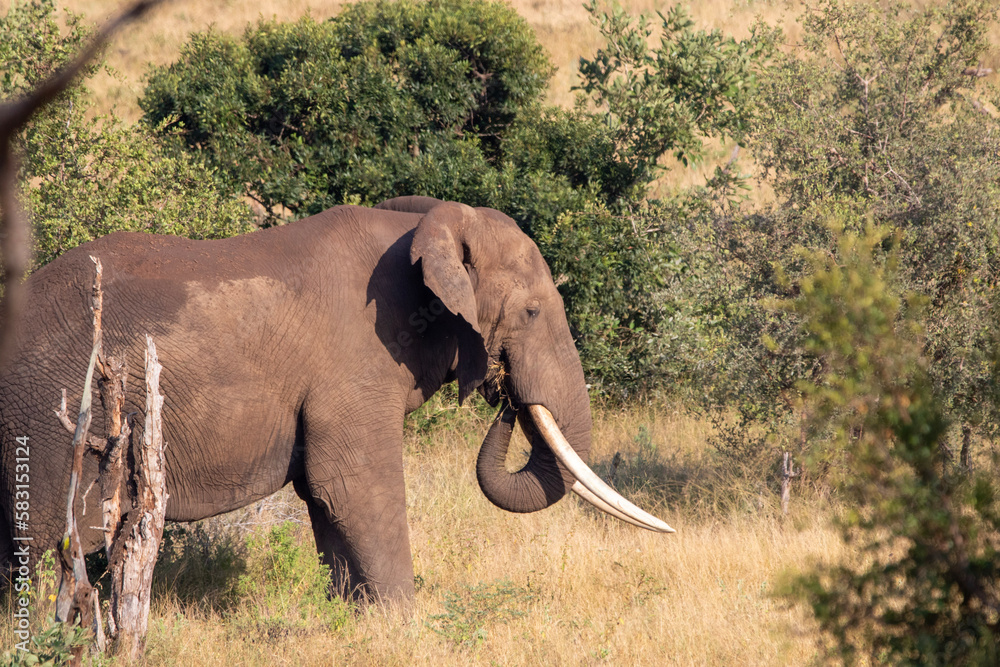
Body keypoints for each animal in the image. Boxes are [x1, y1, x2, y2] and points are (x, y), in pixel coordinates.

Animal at [0, 196, 671, 604]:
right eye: (532, 312)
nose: (504, 391)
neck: (428, 222)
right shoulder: (355, 359)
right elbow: (351, 482)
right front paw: (405, 626)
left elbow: (326, 497)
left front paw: (355, 617)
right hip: (47, 417)